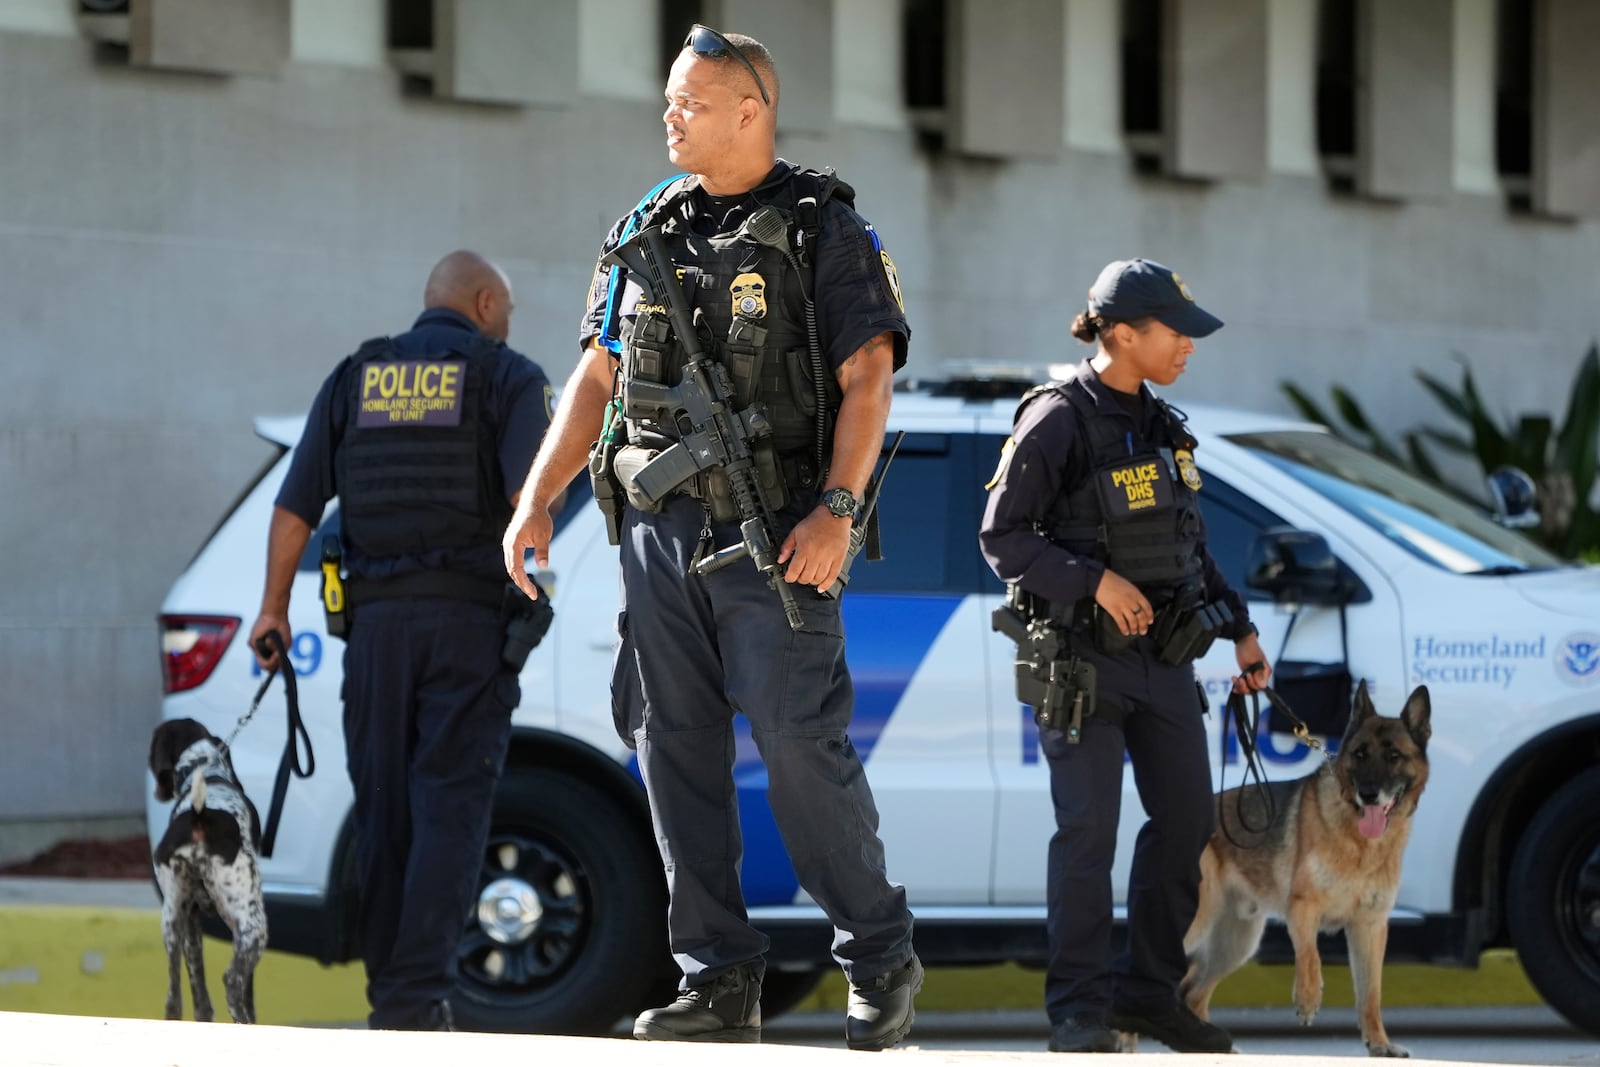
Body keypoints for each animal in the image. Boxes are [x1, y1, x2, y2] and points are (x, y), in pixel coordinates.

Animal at [148, 716, 267, 1023]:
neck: (203, 769)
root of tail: (199, 816)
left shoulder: (191, 920)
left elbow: (199, 992)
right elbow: (249, 992)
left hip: (171, 919)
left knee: (173, 998)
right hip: (252, 924)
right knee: (232, 981)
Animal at [1184, 684, 1433, 1062]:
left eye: (1394, 756)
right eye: (1360, 754)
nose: (1369, 794)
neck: (1360, 844)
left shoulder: (1370, 928)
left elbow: (1371, 994)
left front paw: (1379, 1043)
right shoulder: (1303, 908)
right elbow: (1310, 955)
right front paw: (1308, 999)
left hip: (1236, 944)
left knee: (1192, 995)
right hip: (1197, 924)